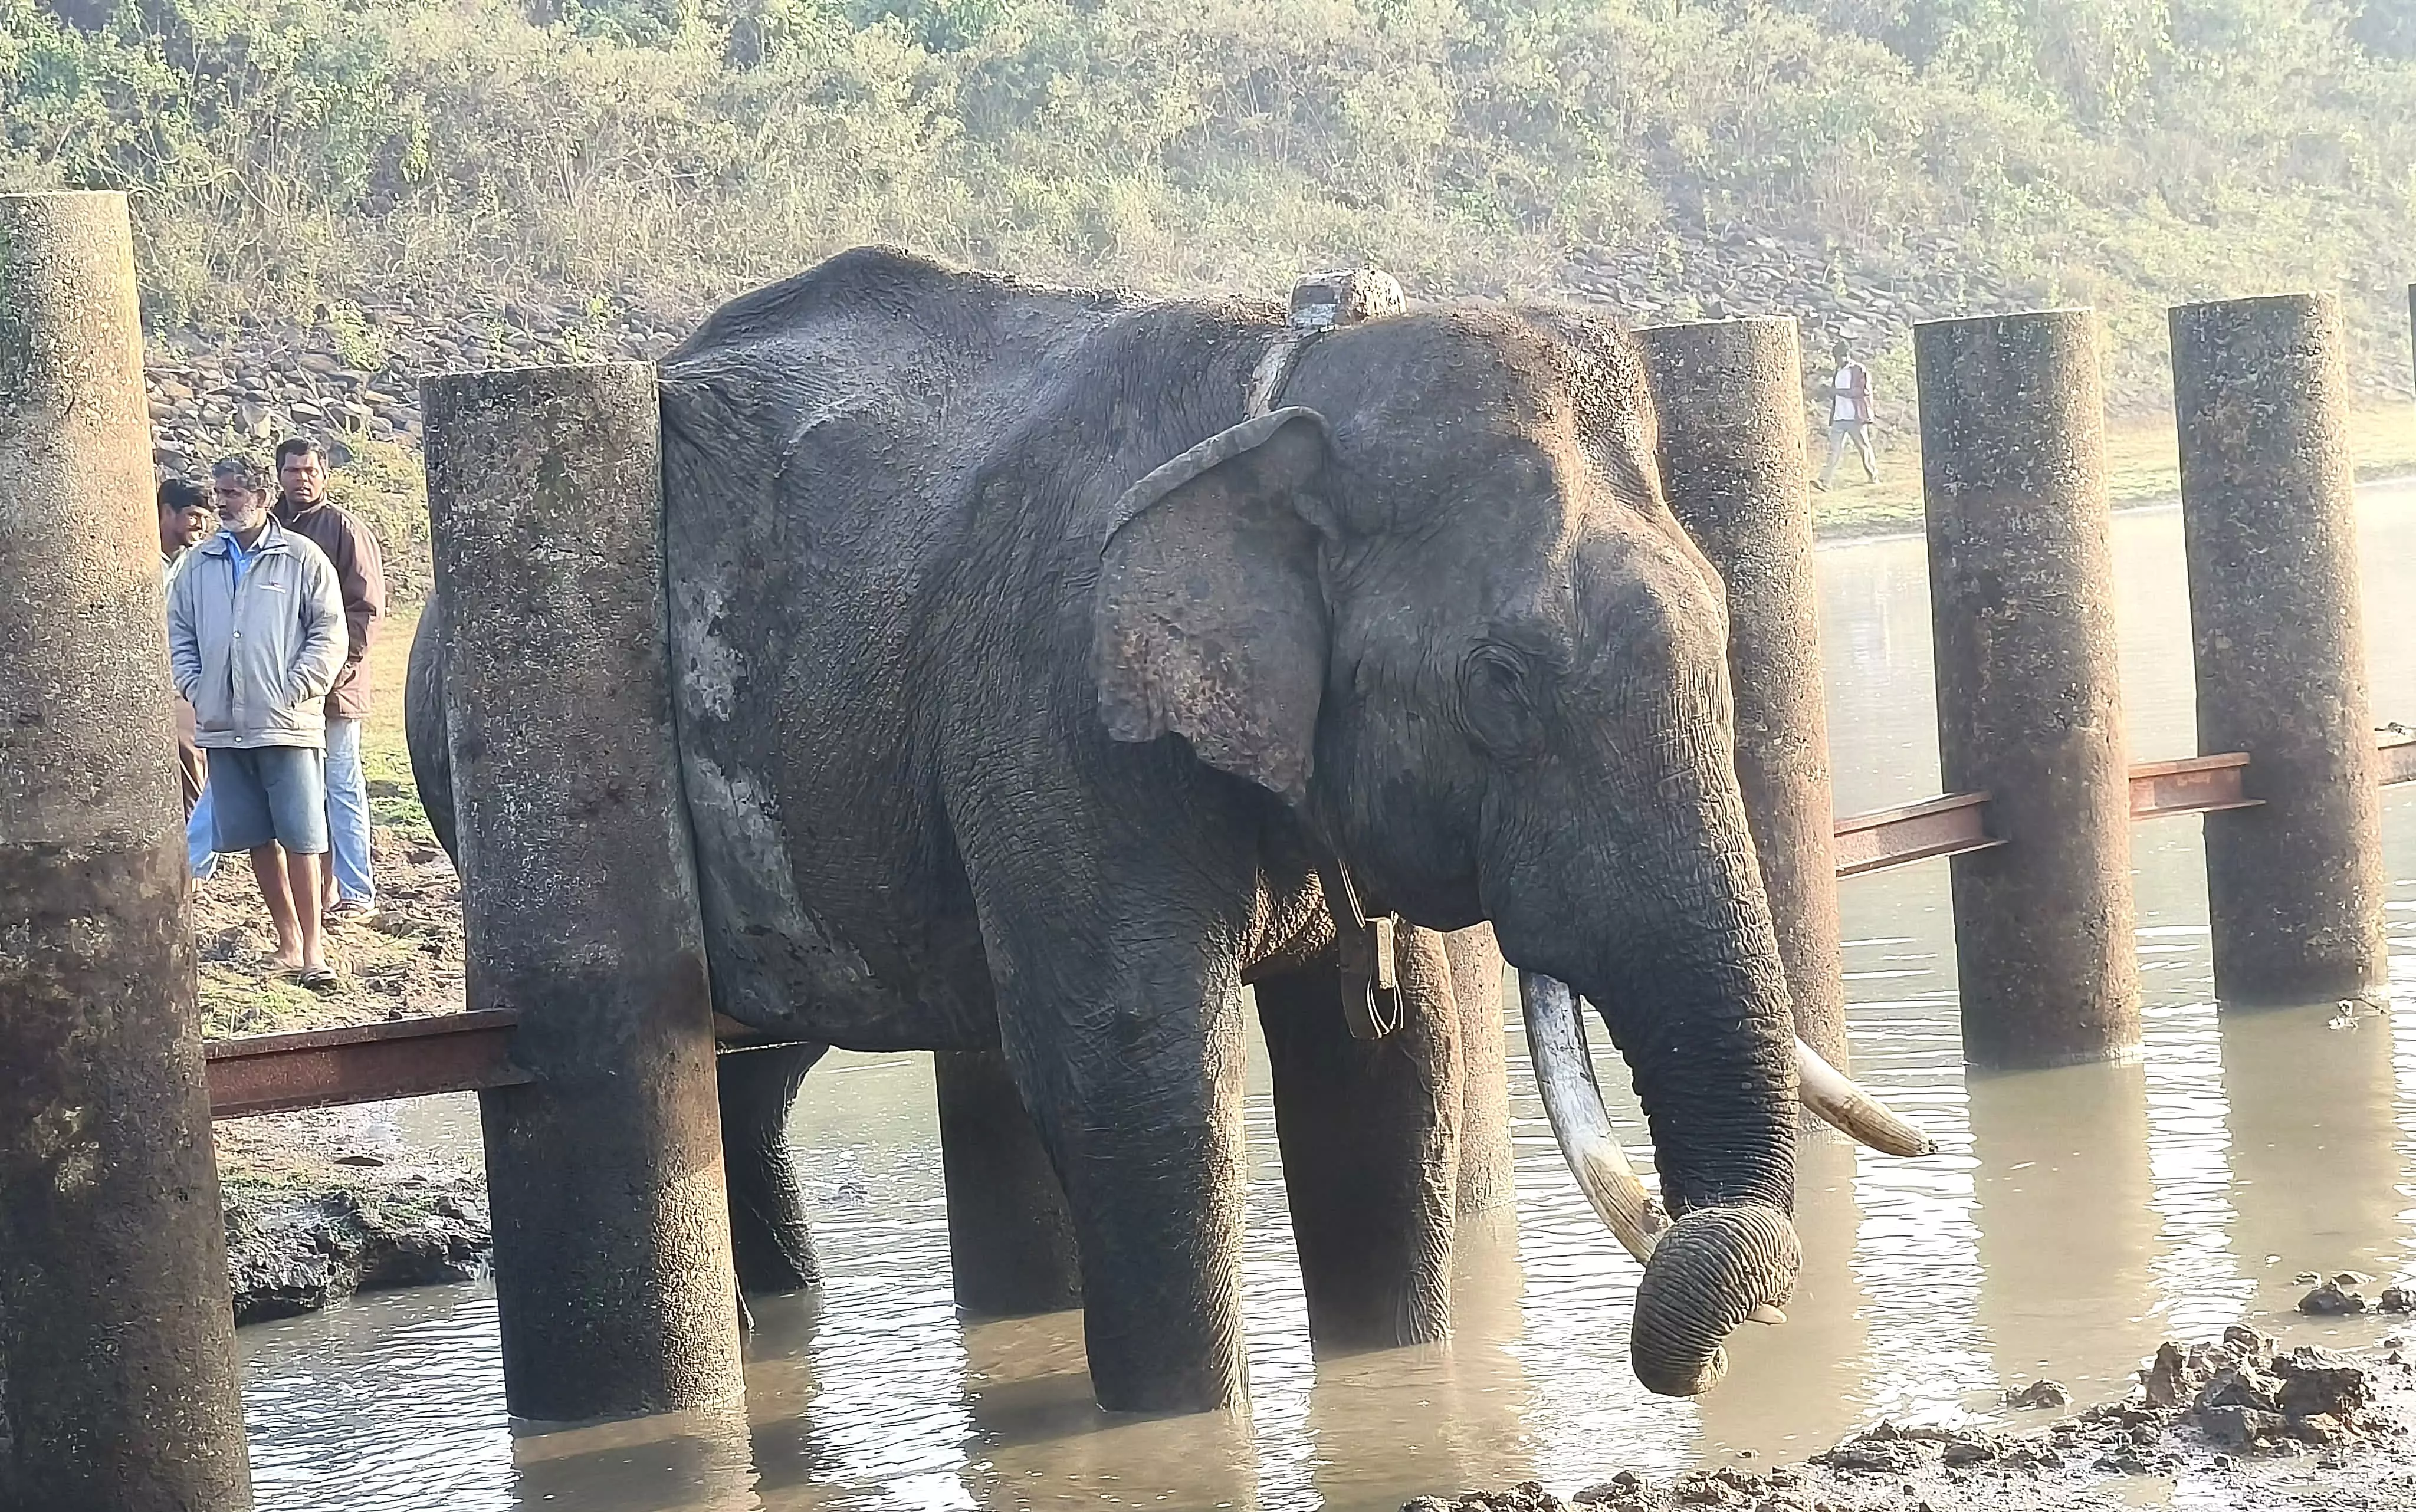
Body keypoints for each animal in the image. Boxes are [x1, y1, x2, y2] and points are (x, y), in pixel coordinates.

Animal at [411, 247, 1923, 1410]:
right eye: (1501, 678)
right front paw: (1184, 1424)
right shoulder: (1060, 707)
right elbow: (1131, 1063)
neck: (1294, 375)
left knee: (759, 1066)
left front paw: (1389, 1378)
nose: (1712, 1361)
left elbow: (1392, 1071)